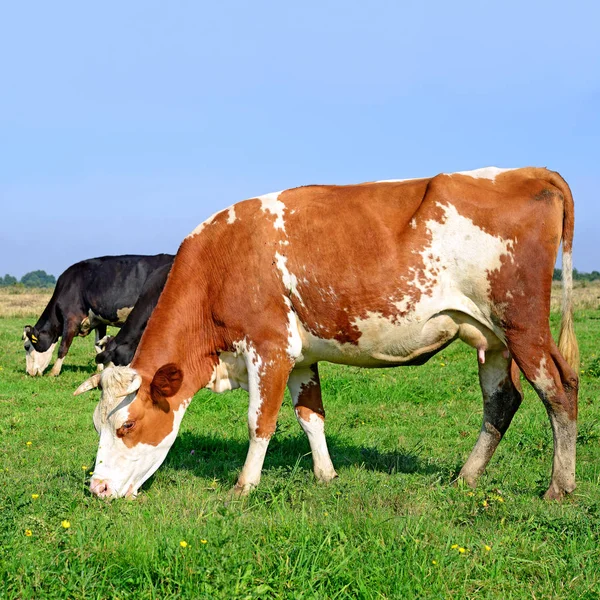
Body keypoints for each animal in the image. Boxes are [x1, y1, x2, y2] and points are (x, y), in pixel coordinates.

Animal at [23, 253, 173, 376]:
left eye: (27, 346)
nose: (29, 372)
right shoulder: (99, 321)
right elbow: (98, 347)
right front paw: (99, 370)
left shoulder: (71, 319)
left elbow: (63, 347)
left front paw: (54, 372)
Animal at [74, 168, 576, 502]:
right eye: (98, 424)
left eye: (126, 425)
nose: (96, 487)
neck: (220, 263)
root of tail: (525, 171)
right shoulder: (302, 357)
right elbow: (310, 416)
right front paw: (326, 475)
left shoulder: (269, 348)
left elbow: (260, 421)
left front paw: (244, 486)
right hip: (491, 338)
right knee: (502, 401)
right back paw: (467, 477)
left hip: (523, 325)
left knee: (560, 389)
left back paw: (559, 486)